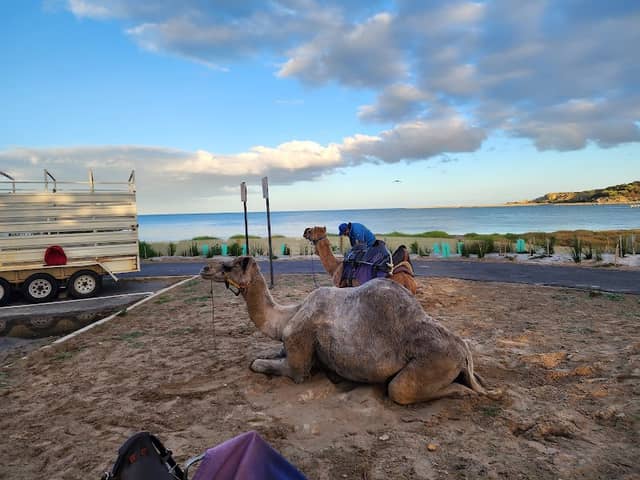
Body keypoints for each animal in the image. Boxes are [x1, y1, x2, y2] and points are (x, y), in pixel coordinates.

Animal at [200, 256, 486, 404]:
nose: (204, 268)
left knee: (400, 390)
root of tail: (463, 353)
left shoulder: (298, 348)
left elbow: (262, 365)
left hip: (433, 362)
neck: (286, 316)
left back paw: (465, 392)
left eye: (229, 265)